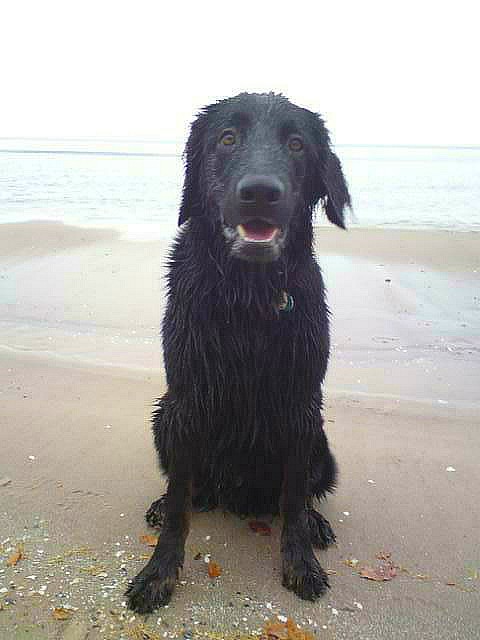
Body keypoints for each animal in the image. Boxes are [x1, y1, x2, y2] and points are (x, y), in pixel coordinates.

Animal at [126, 92, 352, 612]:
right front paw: (158, 573)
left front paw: (301, 561)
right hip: (162, 417)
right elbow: (178, 510)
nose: (261, 193)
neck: (247, 298)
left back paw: (316, 522)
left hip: (322, 442)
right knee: (189, 488)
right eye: (227, 138)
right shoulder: (186, 400)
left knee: (299, 495)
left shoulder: (301, 406)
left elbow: (294, 498)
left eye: (296, 144)